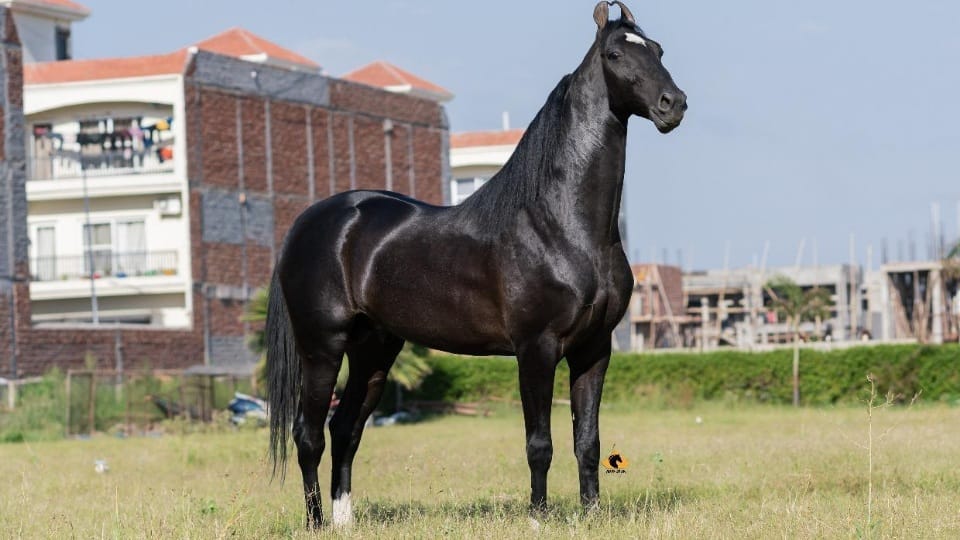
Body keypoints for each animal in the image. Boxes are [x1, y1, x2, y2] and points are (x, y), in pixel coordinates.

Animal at [266, 1, 686, 528]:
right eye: (615, 54)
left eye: (659, 50)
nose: (674, 104)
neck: (562, 225)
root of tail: (309, 222)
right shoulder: (536, 348)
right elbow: (539, 444)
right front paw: (537, 518)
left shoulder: (595, 349)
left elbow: (587, 442)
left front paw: (590, 516)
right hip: (322, 346)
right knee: (309, 434)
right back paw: (317, 522)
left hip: (374, 348)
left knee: (346, 429)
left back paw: (344, 521)